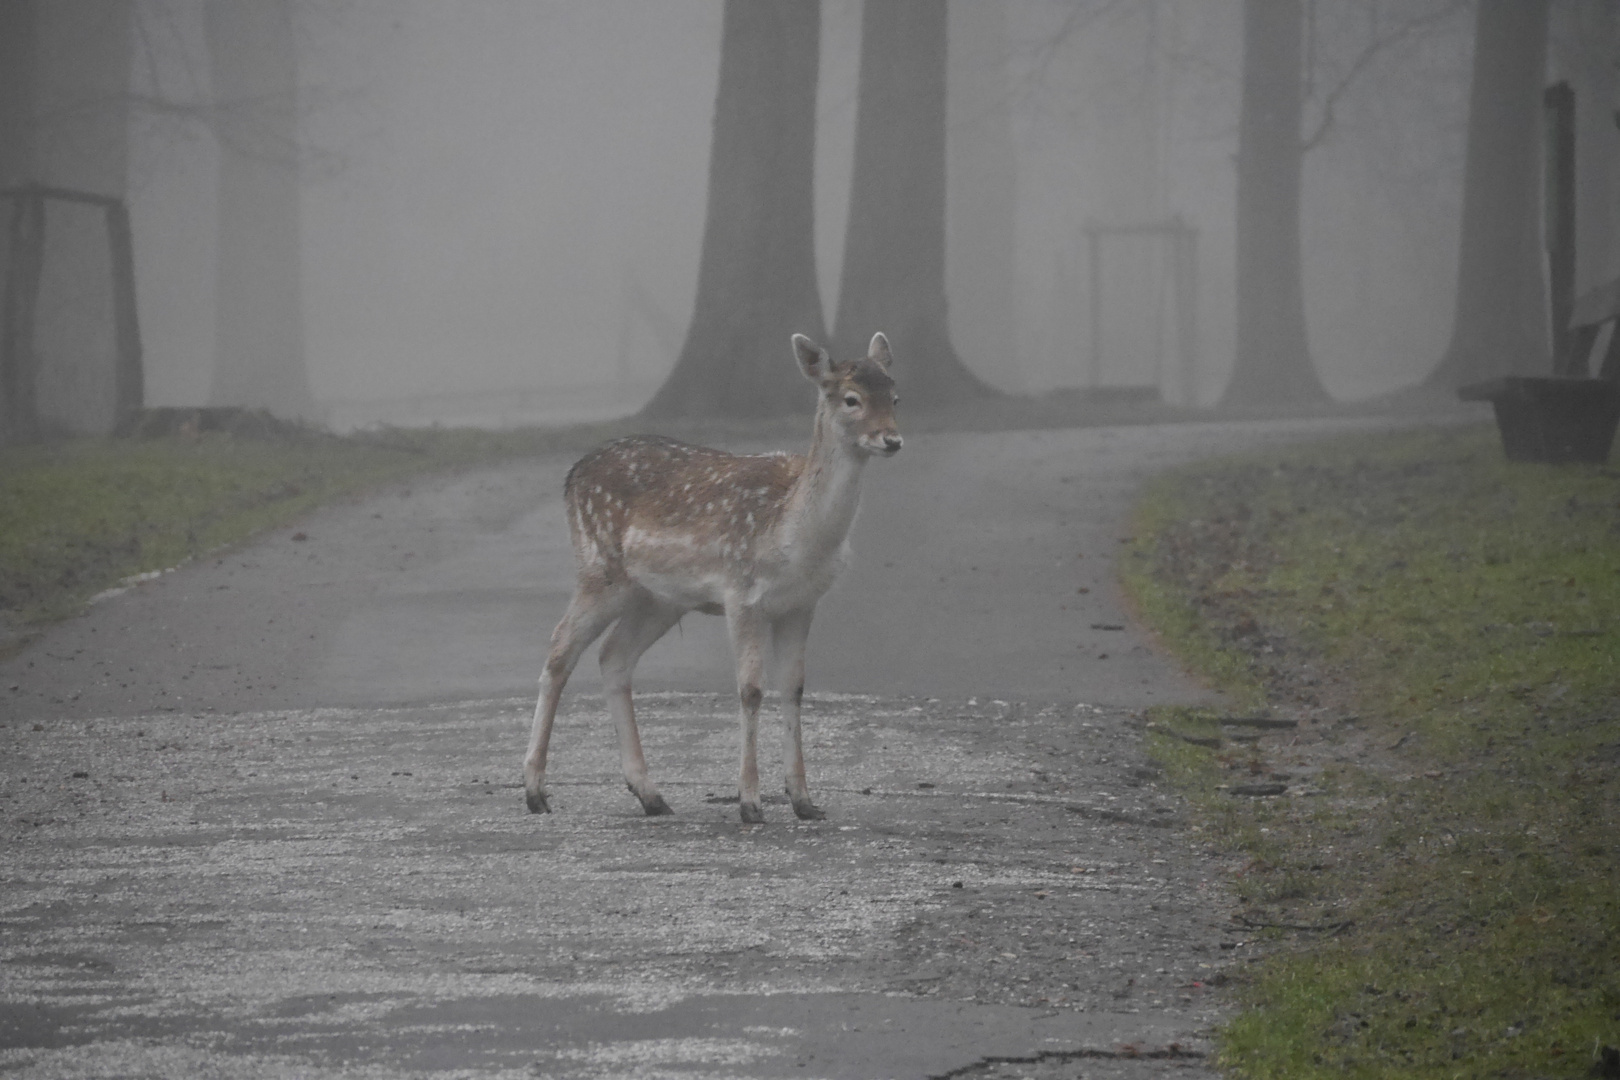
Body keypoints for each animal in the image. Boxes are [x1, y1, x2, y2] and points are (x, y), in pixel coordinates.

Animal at [521, 333, 900, 822]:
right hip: (599, 568)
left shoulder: (802, 603)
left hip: (659, 598)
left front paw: (804, 801)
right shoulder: (741, 592)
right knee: (560, 649)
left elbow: (794, 688)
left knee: (613, 656)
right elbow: (751, 689)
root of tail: (571, 476)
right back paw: (535, 792)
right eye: (852, 399)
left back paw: (651, 794)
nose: (891, 439)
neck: (794, 535)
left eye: (895, 395)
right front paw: (750, 803)